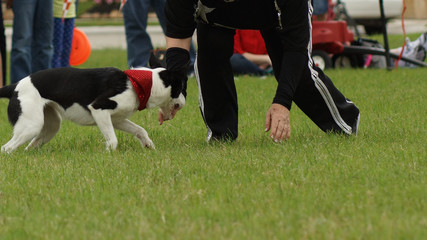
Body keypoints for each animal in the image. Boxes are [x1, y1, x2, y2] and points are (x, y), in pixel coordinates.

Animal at [0, 61, 187, 154]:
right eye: (182, 87)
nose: (185, 101)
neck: (137, 84)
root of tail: (14, 86)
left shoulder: (117, 119)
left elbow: (140, 130)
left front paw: (148, 145)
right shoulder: (99, 109)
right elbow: (113, 140)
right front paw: (107, 155)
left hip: (50, 126)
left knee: (30, 145)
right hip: (31, 125)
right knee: (6, 148)